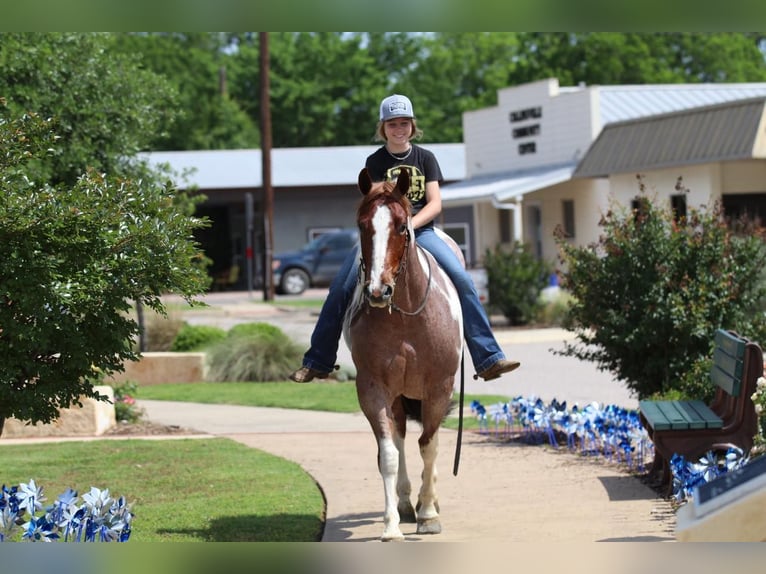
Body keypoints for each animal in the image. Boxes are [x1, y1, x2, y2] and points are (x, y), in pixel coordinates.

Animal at [344, 168, 464, 544]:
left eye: (400, 226)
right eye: (362, 225)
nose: (377, 290)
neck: (405, 318)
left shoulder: (439, 387)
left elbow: (430, 445)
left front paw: (429, 515)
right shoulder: (373, 389)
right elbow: (389, 454)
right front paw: (392, 525)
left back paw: (428, 501)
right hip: (397, 395)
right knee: (399, 436)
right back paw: (405, 503)